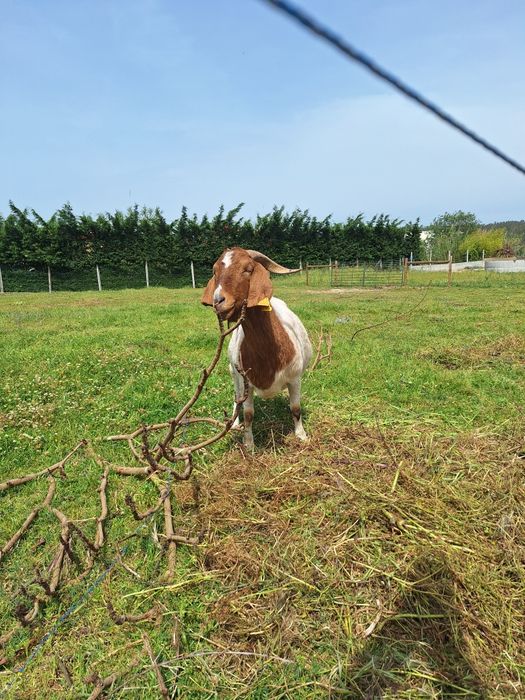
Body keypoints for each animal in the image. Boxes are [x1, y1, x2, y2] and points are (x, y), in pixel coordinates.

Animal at [201, 248, 312, 449]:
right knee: (236, 399)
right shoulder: (245, 381)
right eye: (214, 270)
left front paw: (301, 436)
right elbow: (248, 414)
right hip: (233, 373)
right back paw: (234, 424)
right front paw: (248, 443)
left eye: (248, 269)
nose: (218, 301)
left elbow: (295, 408)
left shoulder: (295, 378)